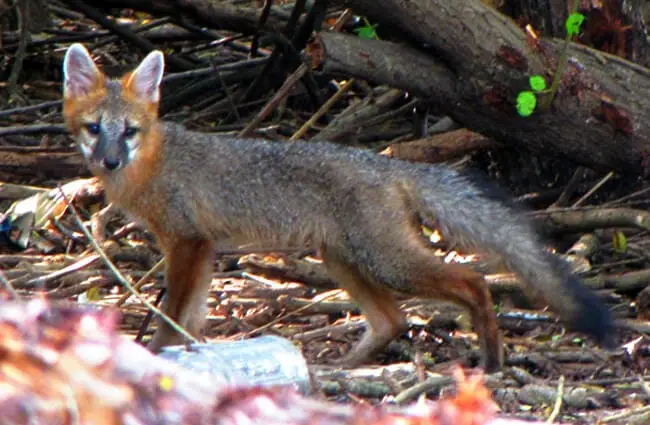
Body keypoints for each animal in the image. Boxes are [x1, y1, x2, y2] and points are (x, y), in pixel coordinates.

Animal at [62, 42, 612, 368]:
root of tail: (388, 164)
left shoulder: (188, 242)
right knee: (393, 321)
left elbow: (172, 313)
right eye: (94, 128)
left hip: (385, 261)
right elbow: (192, 316)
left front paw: (157, 355)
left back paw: (491, 359)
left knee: (471, 282)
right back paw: (342, 368)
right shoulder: (202, 247)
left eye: (129, 131)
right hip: (343, 259)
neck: (153, 164)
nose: (109, 160)